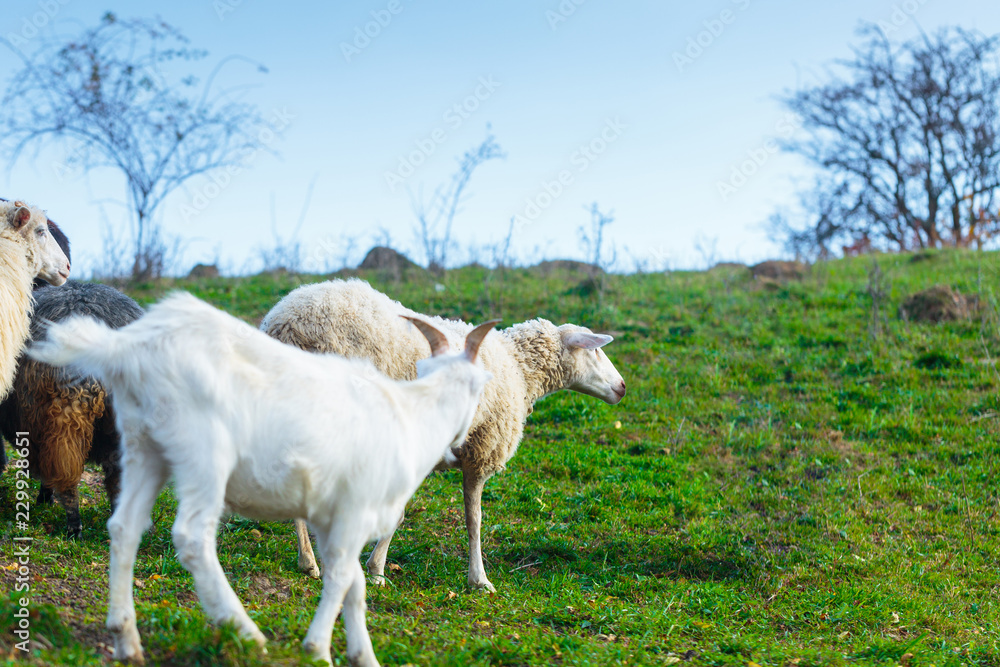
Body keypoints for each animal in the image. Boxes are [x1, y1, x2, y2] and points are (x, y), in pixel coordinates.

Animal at [28, 292, 497, 666]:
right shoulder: (355, 508)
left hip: (144, 446)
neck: (415, 414)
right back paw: (243, 630)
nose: (459, 442)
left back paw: (126, 637)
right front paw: (318, 648)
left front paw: (362, 654)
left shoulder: (332, 516)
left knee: (124, 528)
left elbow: (355, 584)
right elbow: (343, 579)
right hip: (204, 450)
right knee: (192, 537)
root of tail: (130, 347)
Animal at [260, 278, 627, 592]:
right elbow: (473, 520)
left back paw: (308, 560)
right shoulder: (480, 451)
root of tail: (283, 321)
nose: (622, 387)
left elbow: (402, 512)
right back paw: (312, 559)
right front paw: (478, 579)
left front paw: (375, 566)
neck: (518, 369)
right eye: (595, 350)